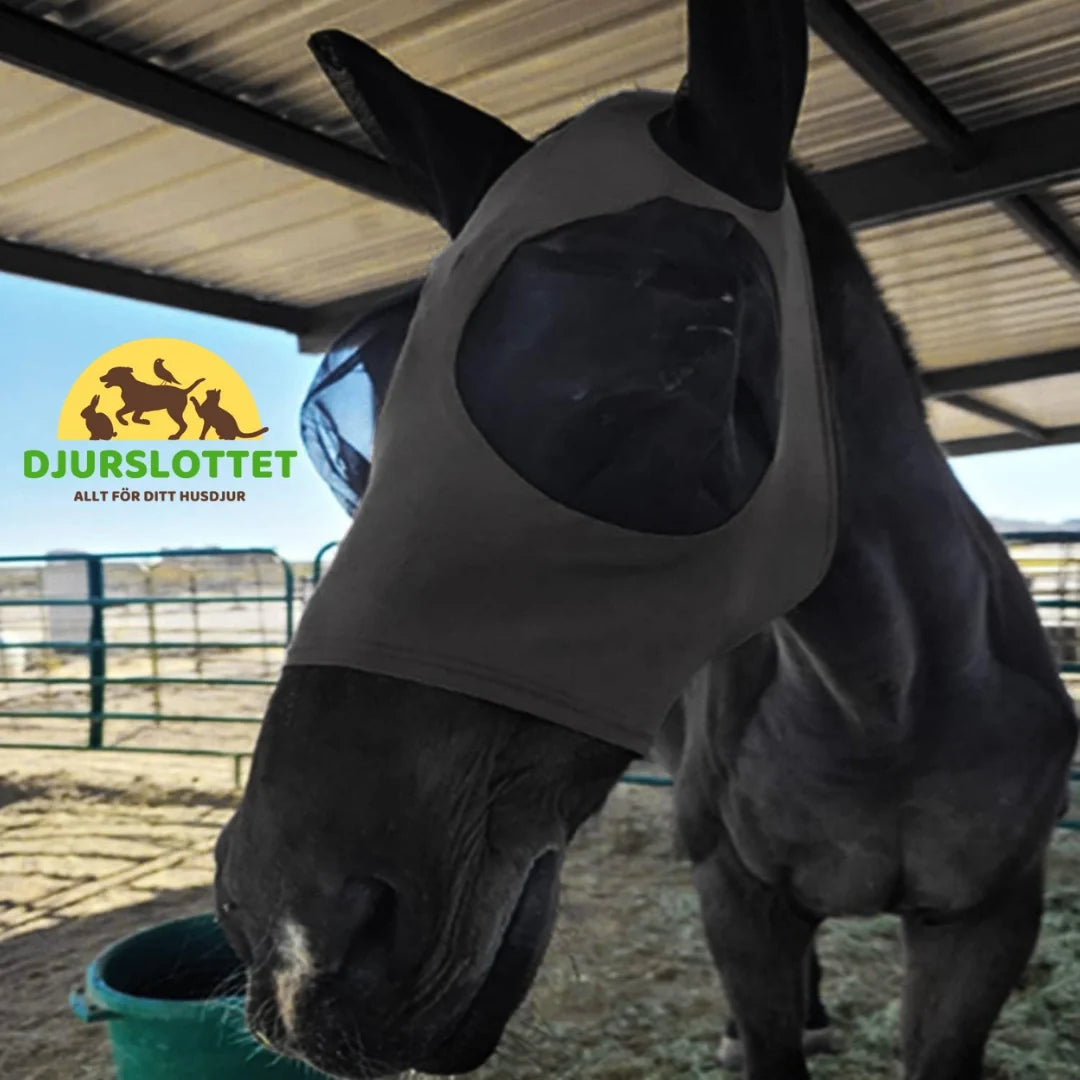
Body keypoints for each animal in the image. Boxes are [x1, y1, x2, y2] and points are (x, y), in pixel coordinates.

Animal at [214, 5, 1078, 1078]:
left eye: (683, 355)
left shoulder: (986, 926)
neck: (888, 705)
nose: (293, 934)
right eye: (359, 445)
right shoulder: (739, 905)